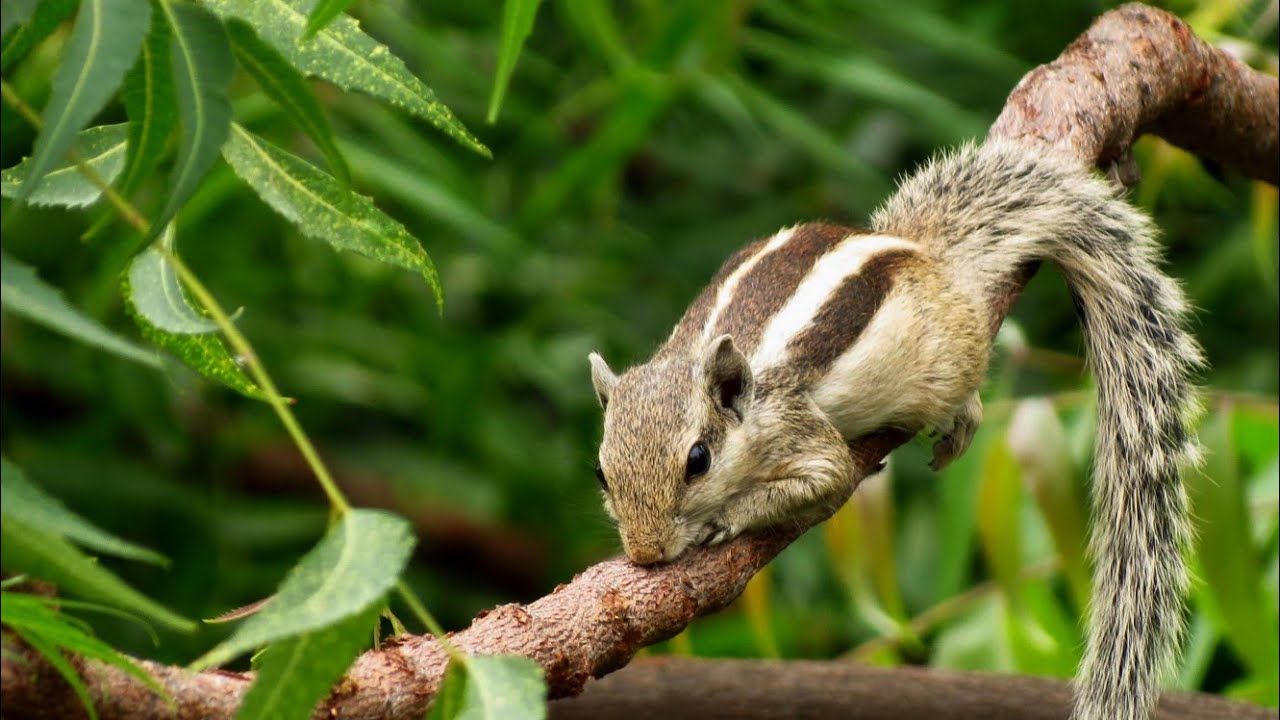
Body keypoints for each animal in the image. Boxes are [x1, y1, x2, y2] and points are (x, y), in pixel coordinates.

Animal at [588, 140, 1201, 720]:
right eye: (601, 473)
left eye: (698, 460)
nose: (645, 553)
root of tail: (923, 250)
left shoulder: (797, 429)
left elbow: (828, 477)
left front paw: (726, 517)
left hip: (947, 359)